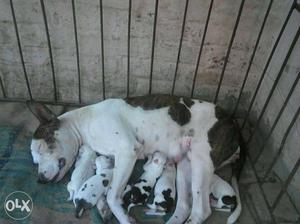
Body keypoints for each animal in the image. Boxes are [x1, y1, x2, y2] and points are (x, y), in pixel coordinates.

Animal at [27, 93, 245, 223]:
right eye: (35, 161)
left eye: (44, 145)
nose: (40, 179)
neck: (83, 122)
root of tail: (234, 121)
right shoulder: (109, 160)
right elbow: (104, 187)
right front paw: (103, 207)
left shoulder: (126, 151)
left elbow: (112, 196)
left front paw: (122, 217)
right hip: (185, 164)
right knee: (184, 206)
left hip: (201, 161)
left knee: (201, 210)